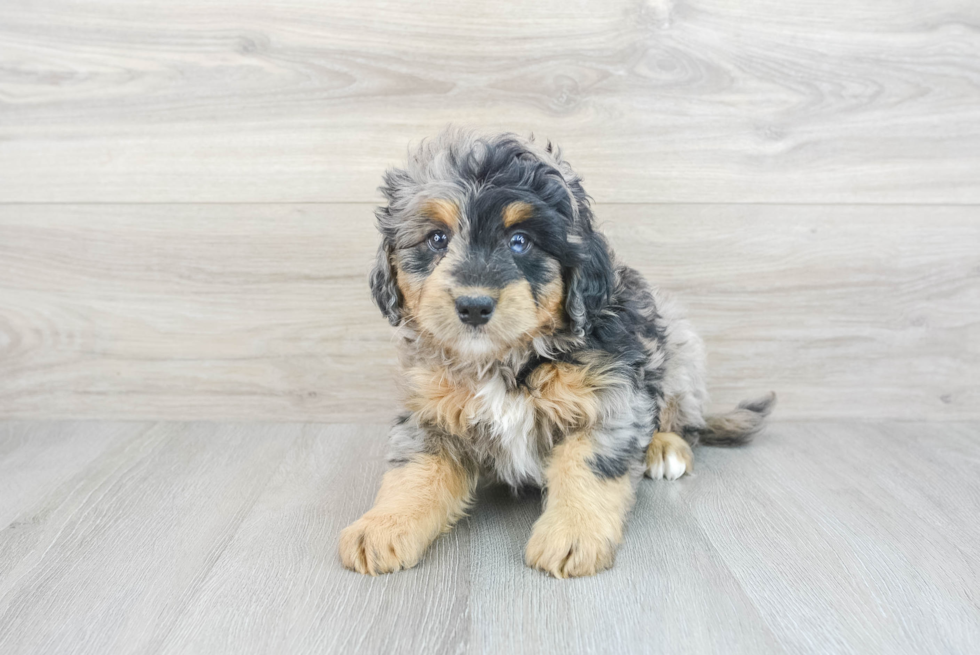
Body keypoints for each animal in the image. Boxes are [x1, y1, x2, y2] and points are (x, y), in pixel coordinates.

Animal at [340, 129, 776, 580]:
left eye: (520, 241)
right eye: (436, 239)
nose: (474, 306)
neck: (508, 360)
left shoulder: (612, 399)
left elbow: (586, 467)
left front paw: (573, 534)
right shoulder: (429, 413)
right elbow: (413, 471)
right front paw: (382, 525)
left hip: (678, 346)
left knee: (683, 418)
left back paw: (664, 447)